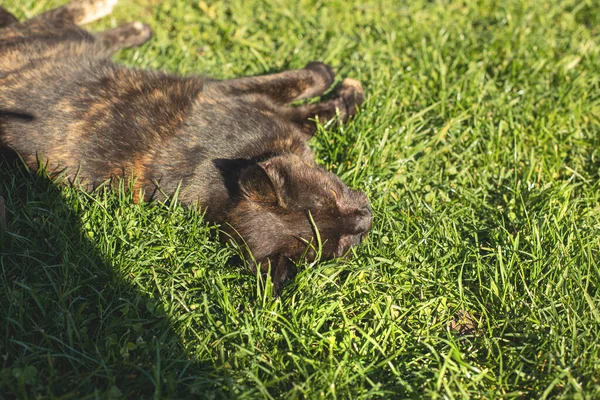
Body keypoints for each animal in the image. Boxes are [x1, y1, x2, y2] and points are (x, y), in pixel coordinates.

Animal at [0, 0, 372, 294]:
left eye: (330, 197)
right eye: (340, 247)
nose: (366, 220)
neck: (220, 181)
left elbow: (316, 113)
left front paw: (343, 94)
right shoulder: (232, 93)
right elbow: (310, 86)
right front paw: (337, 80)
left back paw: (138, 31)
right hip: (56, 37)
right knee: (61, 18)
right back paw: (114, 13)